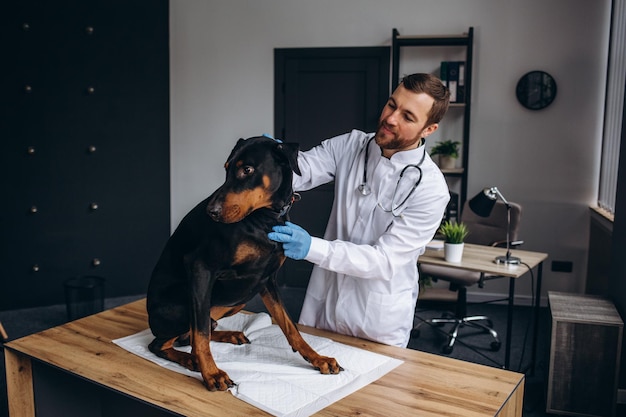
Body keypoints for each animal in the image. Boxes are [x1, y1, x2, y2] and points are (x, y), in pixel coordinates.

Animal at [146, 136, 342, 390]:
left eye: (247, 170)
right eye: (226, 169)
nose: (211, 212)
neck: (266, 220)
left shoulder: (266, 280)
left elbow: (290, 326)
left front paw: (318, 359)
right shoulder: (200, 267)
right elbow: (200, 334)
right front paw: (212, 373)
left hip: (236, 299)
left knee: (198, 329)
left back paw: (227, 335)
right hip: (188, 304)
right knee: (164, 341)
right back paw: (192, 360)